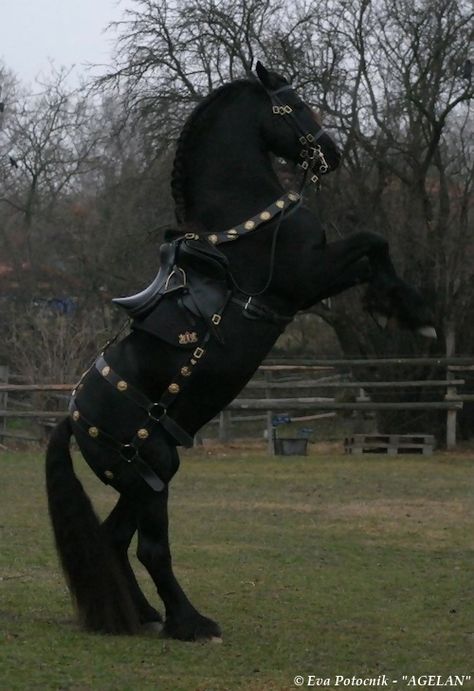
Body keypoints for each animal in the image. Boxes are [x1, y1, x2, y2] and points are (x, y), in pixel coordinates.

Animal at [46, 62, 436, 640]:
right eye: (295, 104)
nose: (331, 151)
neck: (243, 218)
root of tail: (75, 419)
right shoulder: (305, 279)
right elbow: (373, 240)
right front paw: (414, 314)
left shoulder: (315, 279)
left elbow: (372, 253)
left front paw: (399, 308)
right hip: (151, 473)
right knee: (151, 550)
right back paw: (189, 623)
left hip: (144, 479)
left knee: (115, 539)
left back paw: (143, 616)